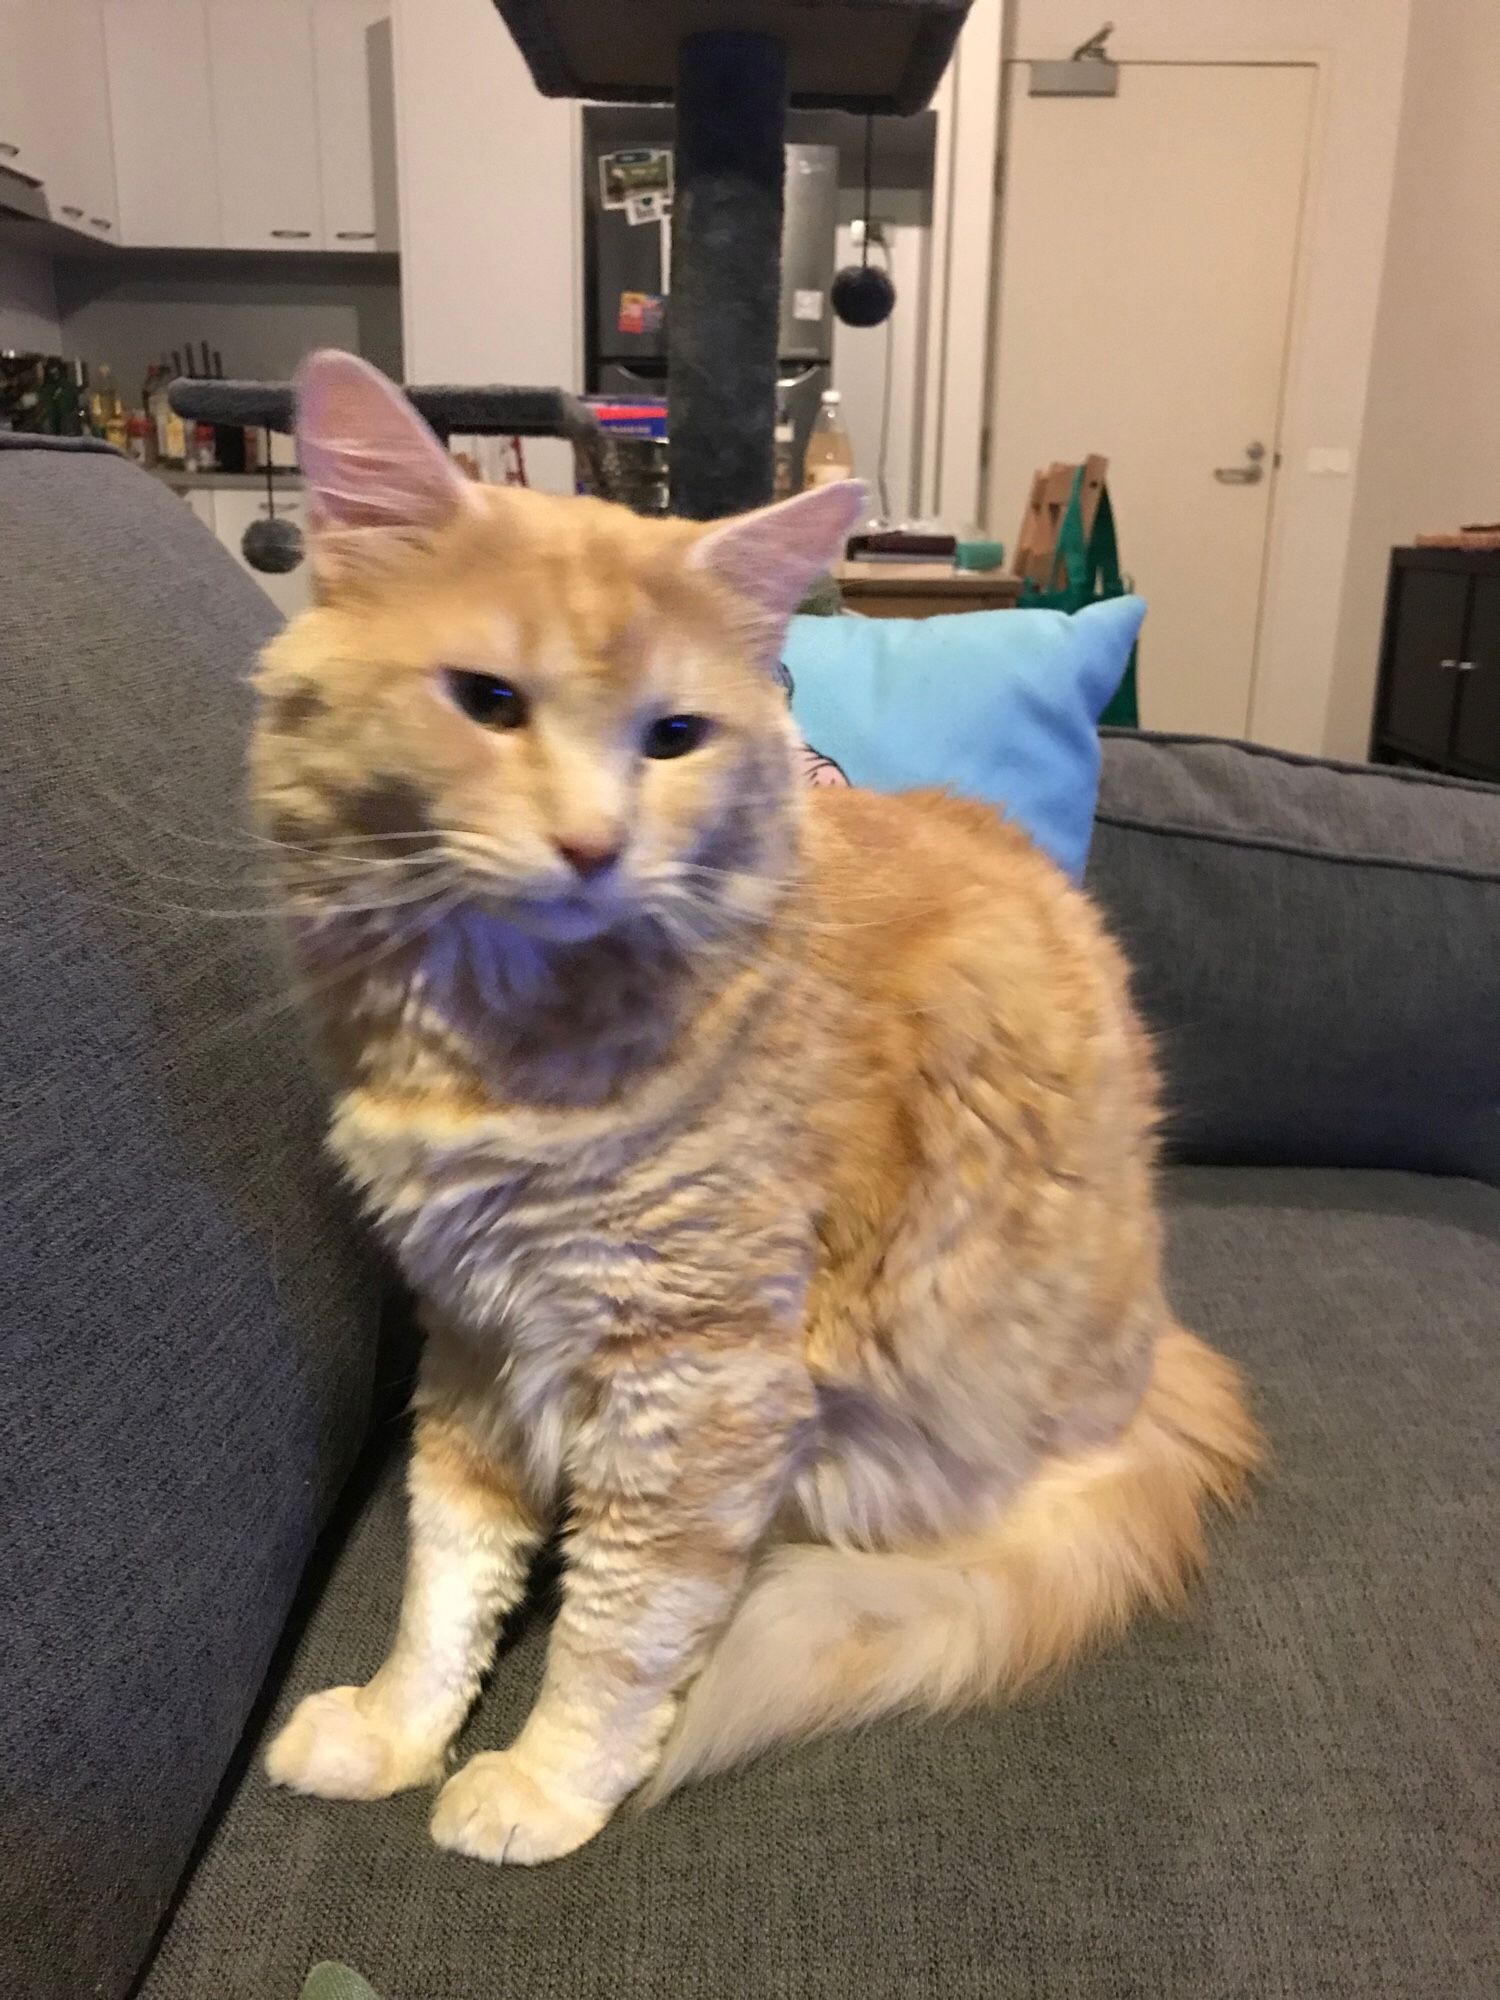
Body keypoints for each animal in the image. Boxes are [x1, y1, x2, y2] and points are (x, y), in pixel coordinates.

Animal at [262, 352, 1272, 1864]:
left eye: (674, 737)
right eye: (488, 702)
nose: (594, 846)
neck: (508, 1048)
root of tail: (1158, 1369)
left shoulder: (699, 1385)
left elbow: (620, 1631)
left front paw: (545, 1783)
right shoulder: (479, 1337)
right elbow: (448, 1577)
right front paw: (396, 1727)